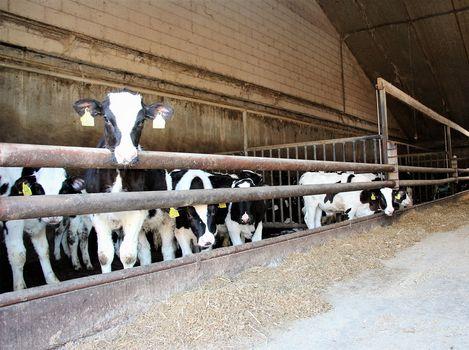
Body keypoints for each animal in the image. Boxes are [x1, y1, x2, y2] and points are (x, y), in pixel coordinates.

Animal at [73, 89, 174, 272]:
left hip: (166, 219)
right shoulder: (98, 215)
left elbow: (128, 256)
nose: (126, 155)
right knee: (144, 252)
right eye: (106, 118)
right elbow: (105, 256)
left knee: (167, 249)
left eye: (141, 121)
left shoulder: (137, 213)